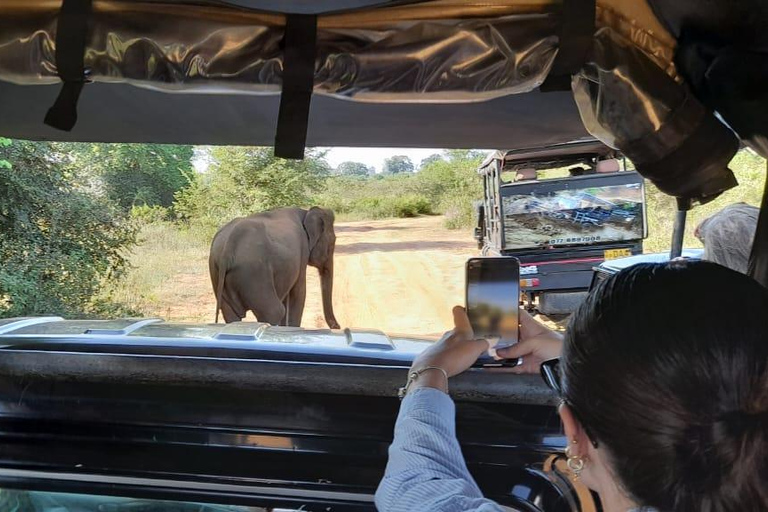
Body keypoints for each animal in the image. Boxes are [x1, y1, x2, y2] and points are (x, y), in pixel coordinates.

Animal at [210, 207, 342, 330]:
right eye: (332, 242)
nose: (338, 326)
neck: (305, 212)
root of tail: (228, 248)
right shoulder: (302, 252)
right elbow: (298, 292)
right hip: (254, 271)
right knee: (274, 312)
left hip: (219, 272)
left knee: (230, 313)